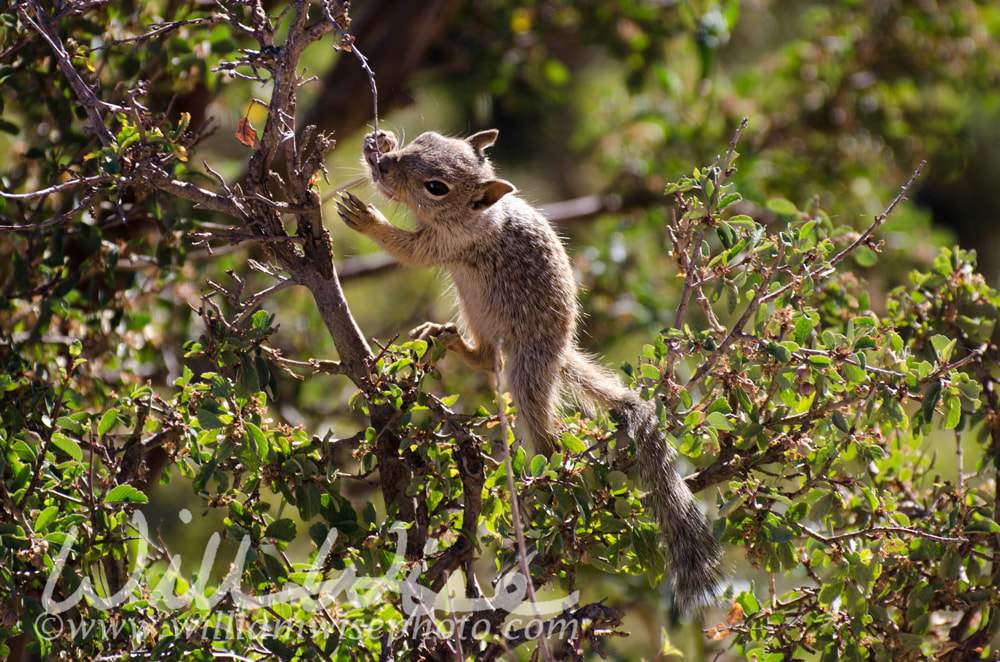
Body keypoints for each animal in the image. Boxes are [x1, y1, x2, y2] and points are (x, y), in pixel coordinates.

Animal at [340, 128, 724, 608]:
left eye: (436, 187)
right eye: (426, 138)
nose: (385, 165)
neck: (477, 218)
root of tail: (559, 354)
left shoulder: (446, 244)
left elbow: (408, 252)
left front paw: (365, 218)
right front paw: (378, 142)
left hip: (525, 370)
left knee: (545, 434)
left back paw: (543, 483)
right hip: (477, 314)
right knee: (483, 355)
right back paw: (442, 336)